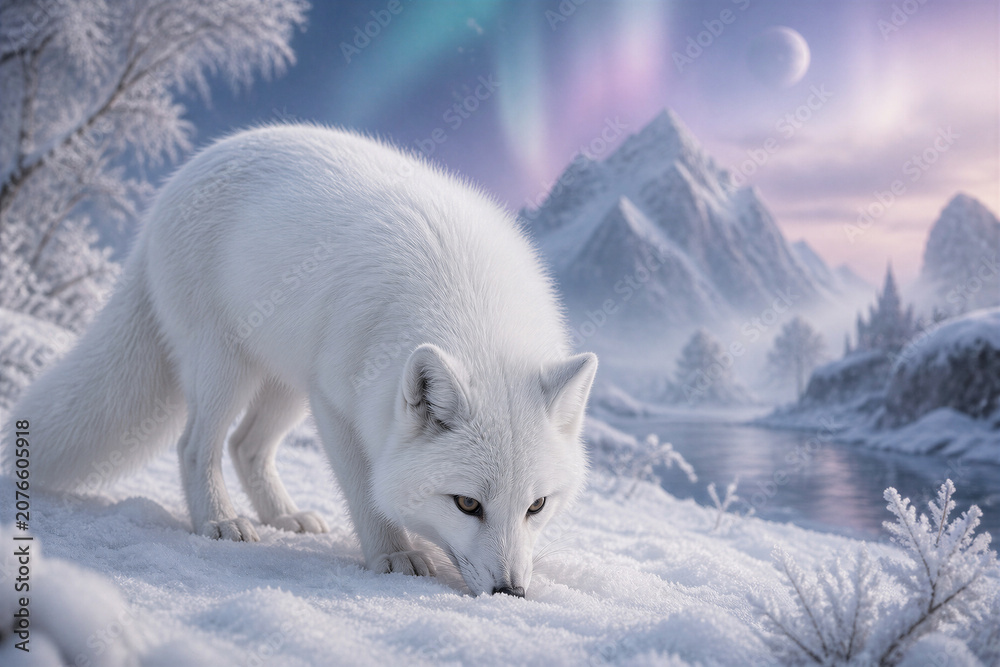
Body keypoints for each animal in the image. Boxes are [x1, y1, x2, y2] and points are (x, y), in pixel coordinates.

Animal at [7, 125, 598, 597]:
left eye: (537, 506)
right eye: (467, 504)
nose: (510, 592)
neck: (470, 307)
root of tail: (173, 185)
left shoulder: (325, 392)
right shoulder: (336, 405)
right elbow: (365, 492)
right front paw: (394, 554)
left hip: (287, 386)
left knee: (246, 447)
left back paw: (283, 516)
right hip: (228, 369)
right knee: (196, 446)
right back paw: (220, 521)